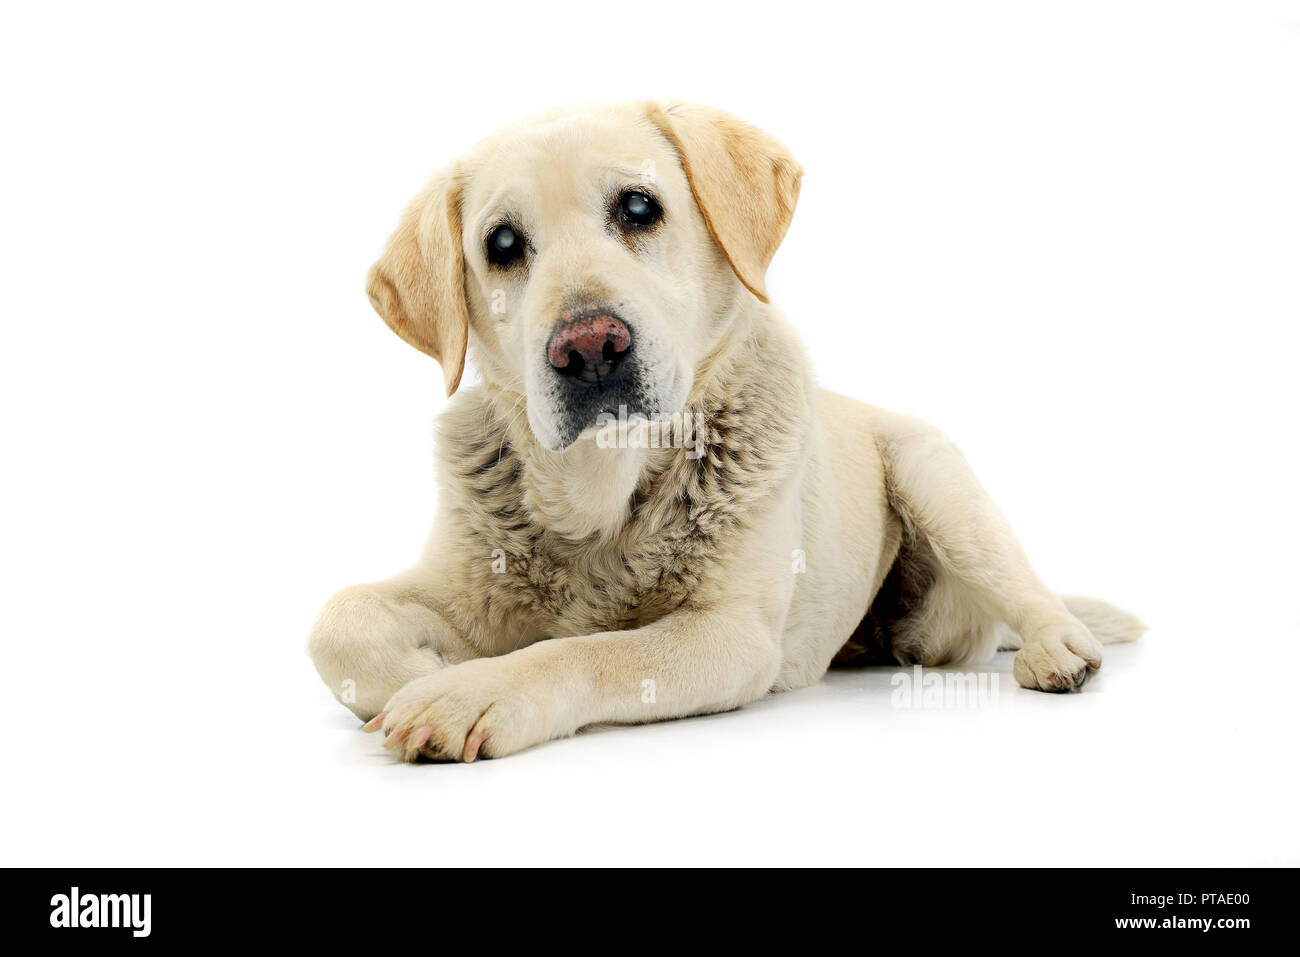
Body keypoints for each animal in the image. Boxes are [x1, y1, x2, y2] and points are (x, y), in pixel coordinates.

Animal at [309, 100, 1144, 764]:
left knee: (1023, 585)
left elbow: (587, 650)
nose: (589, 348)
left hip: (933, 475)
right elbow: (336, 620)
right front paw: (419, 672)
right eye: (503, 245)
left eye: (639, 207)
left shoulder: (730, 634)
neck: (601, 500)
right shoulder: (458, 580)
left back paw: (1058, 645)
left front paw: (467, 691)